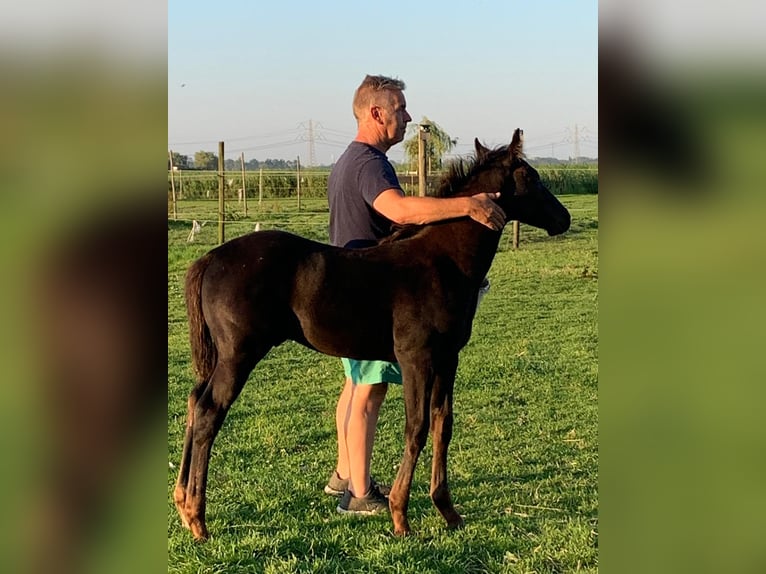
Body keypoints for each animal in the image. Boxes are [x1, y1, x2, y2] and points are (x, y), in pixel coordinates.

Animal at [172, 129, 568, 540]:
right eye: (532, 177)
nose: (564, 218)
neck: (443, 263)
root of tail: (209, 259)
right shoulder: (415, 359)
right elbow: (416, 427)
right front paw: (400, 516)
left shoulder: (448, 358)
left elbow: (442, 424)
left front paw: (448, 511)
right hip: (238, 355)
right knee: (208, 412)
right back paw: (198, 518)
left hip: (220, 358)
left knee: (193, 402)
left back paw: (183, 502)